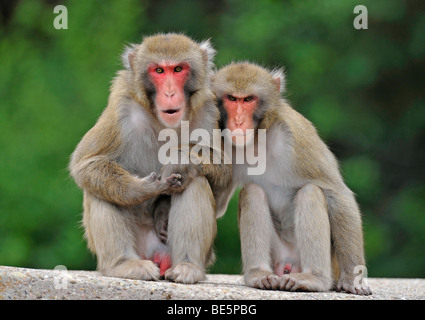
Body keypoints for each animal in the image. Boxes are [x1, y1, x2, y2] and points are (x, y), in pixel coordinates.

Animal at [212, 62, 372, 296]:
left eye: (248, 99)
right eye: (232, 98)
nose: (238, 121)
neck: (258, 137)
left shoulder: (297, 135)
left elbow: (337, 194)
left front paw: (352, 279)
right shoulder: (222, 142)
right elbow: (217, 207)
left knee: (311, 192)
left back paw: (314, 278)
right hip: (278, 256)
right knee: (252, 192)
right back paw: (258, 274)